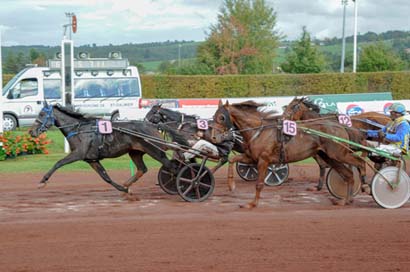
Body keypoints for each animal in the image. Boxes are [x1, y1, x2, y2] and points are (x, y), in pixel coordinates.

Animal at [29, 102, 187, 196]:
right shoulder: (91, 159)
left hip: (155, 150)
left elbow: (58, 163)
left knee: (172, 166)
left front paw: (43, 181)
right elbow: (105, 177)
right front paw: (124, 189)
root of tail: (153, 125)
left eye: (42, 114)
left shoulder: (78, 154)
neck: (79, 130)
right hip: (135, 152)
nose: (31, 132)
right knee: (143, 169)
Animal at [211, 101, 366, 209]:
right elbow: (232, 159)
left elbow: (259, 184)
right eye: (214, 116)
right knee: (348, 174)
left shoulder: (263, 160)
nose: (213, 137)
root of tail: (340, 126)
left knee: (359, 162)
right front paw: (231, 185)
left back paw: (364, 184)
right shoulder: (252, 158)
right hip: (330, 156)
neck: (259, 131)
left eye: (222, 117)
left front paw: (252, 204)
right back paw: (346, 200)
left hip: (338, 154)